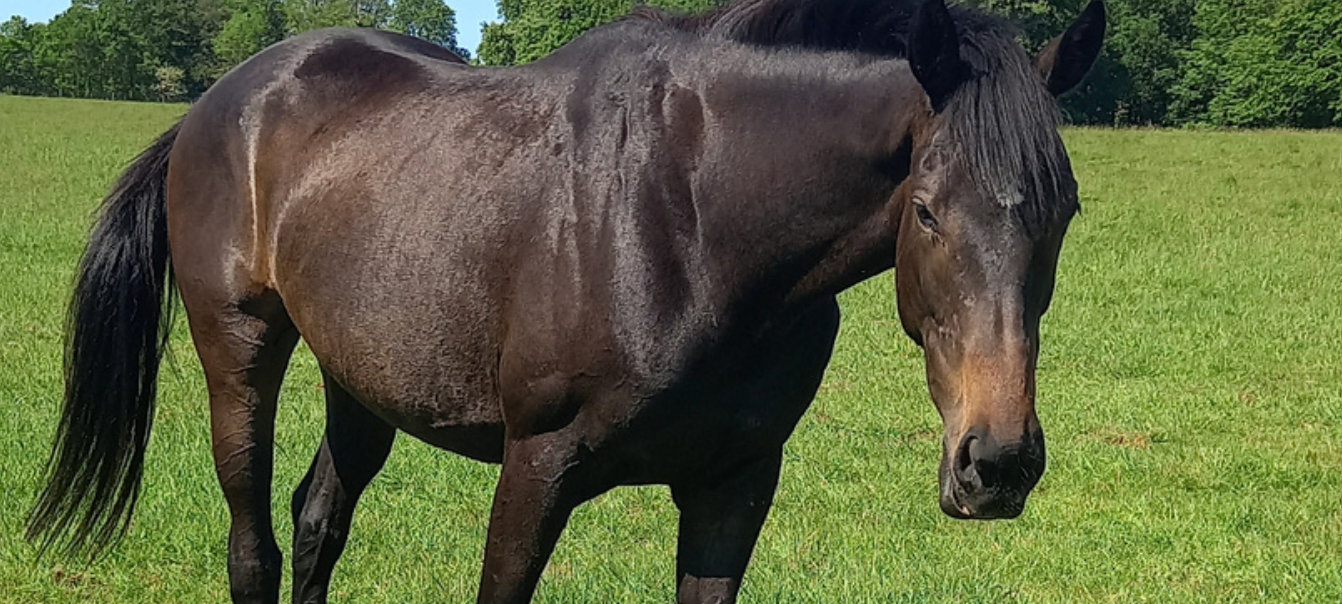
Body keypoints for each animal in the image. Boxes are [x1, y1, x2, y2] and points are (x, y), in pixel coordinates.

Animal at [27, 0, 1105, 602]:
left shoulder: (732, 487)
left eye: (1067, 211)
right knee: (250, 545)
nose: (997, 463)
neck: (694, 223)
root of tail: (220, 101)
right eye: (925, 209)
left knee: (316, 522)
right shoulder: (534, 471)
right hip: (240, 353)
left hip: (360, 377)